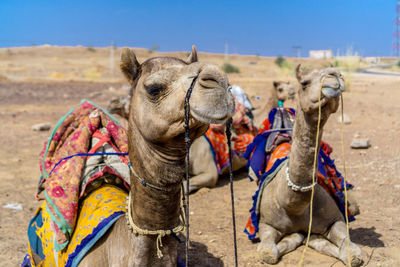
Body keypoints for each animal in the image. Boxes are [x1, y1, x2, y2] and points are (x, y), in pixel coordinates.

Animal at [255, 66, 364, 266]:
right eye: (304, 82)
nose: (335, 74)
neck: (293, 204)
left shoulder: (336, 220)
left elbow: (352, 254)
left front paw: (312, 238)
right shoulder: (265, 224)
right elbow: (268, 253)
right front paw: (299, 236)